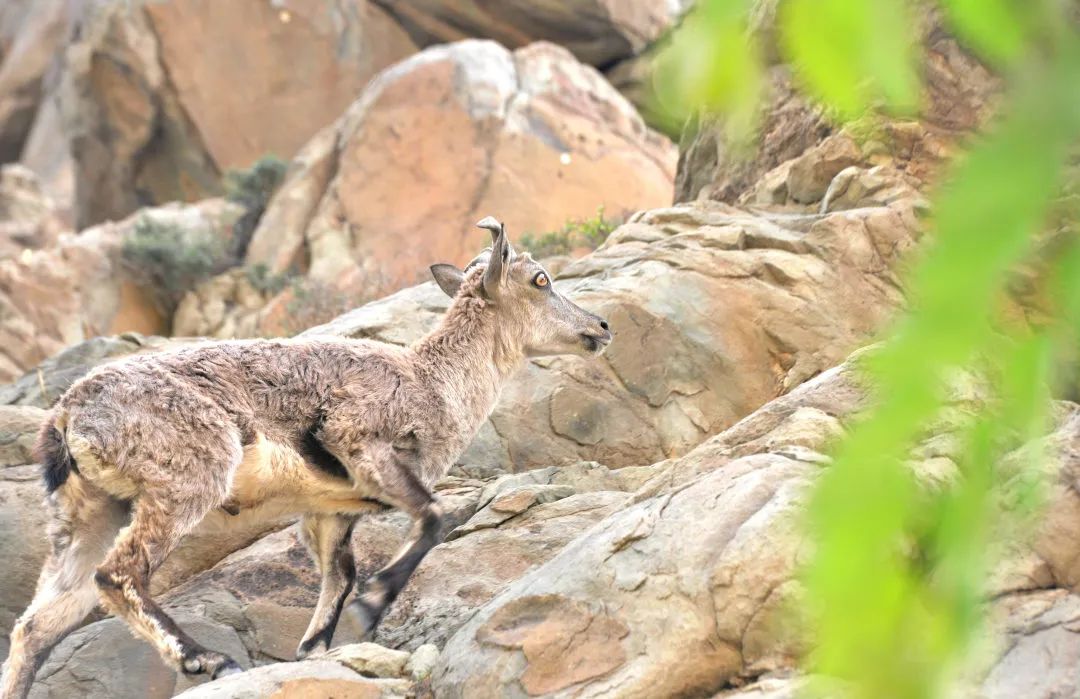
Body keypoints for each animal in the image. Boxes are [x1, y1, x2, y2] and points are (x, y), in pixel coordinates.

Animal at [0, 216, 609, 695]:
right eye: (540, 279)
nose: (601, 326)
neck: (434, 383)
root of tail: (66, 418)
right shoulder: (359, 440)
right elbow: (433, 516)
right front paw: (375, 602)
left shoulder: (328, 510)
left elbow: (338, 575)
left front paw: (314, 647)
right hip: (186, 477)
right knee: (118, 575)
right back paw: (206, 659)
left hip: (91, 514)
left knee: (37, 625)